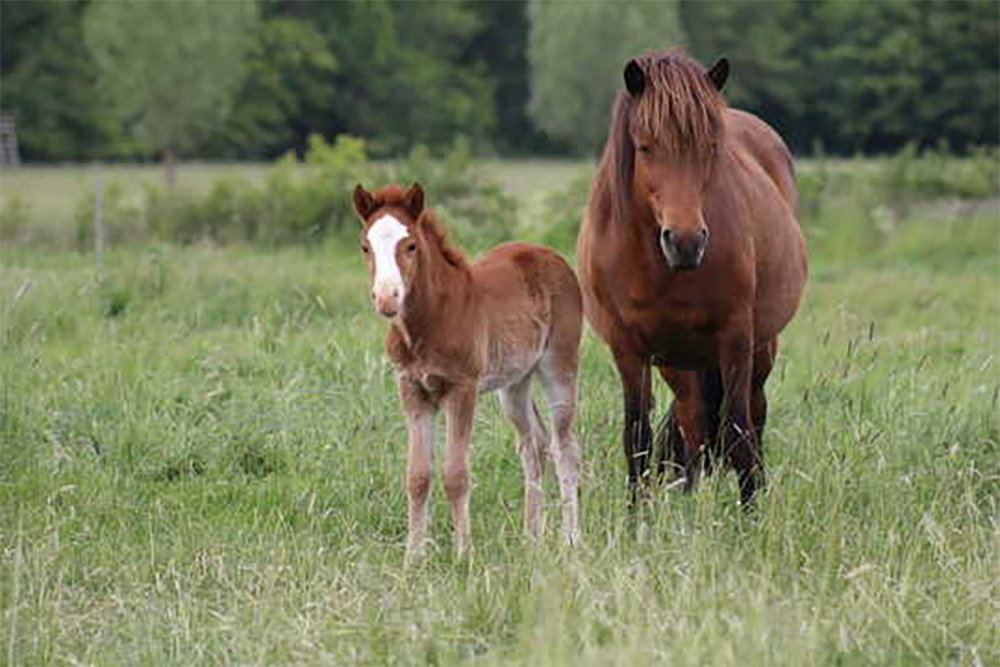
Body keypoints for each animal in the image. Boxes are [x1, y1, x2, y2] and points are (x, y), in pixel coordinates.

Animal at [354, 181, 584, 560]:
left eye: (411, 245)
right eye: (365, 246)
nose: (387, 298)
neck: (431, 320)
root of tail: (550, 255)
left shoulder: (462, 389)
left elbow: (456, 475)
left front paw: (463, 554)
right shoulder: (412, 389)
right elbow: (417, 476)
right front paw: (413, 557)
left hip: (559, 365)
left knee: (564, 446)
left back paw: (571, 539)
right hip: (515, 383)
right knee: (534, 444)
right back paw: (530, 538)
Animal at [580, 48, 804, 506]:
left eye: (711, 147)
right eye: (645, 147)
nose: (685, 242)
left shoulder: (735, 338)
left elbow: (738, 432)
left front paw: (751, 515)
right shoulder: (628, 348)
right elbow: (638, 438)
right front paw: (636, 518)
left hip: (759, 347)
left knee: (753, 415)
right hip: (677, 359)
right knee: (693, 419)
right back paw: (687, 499)